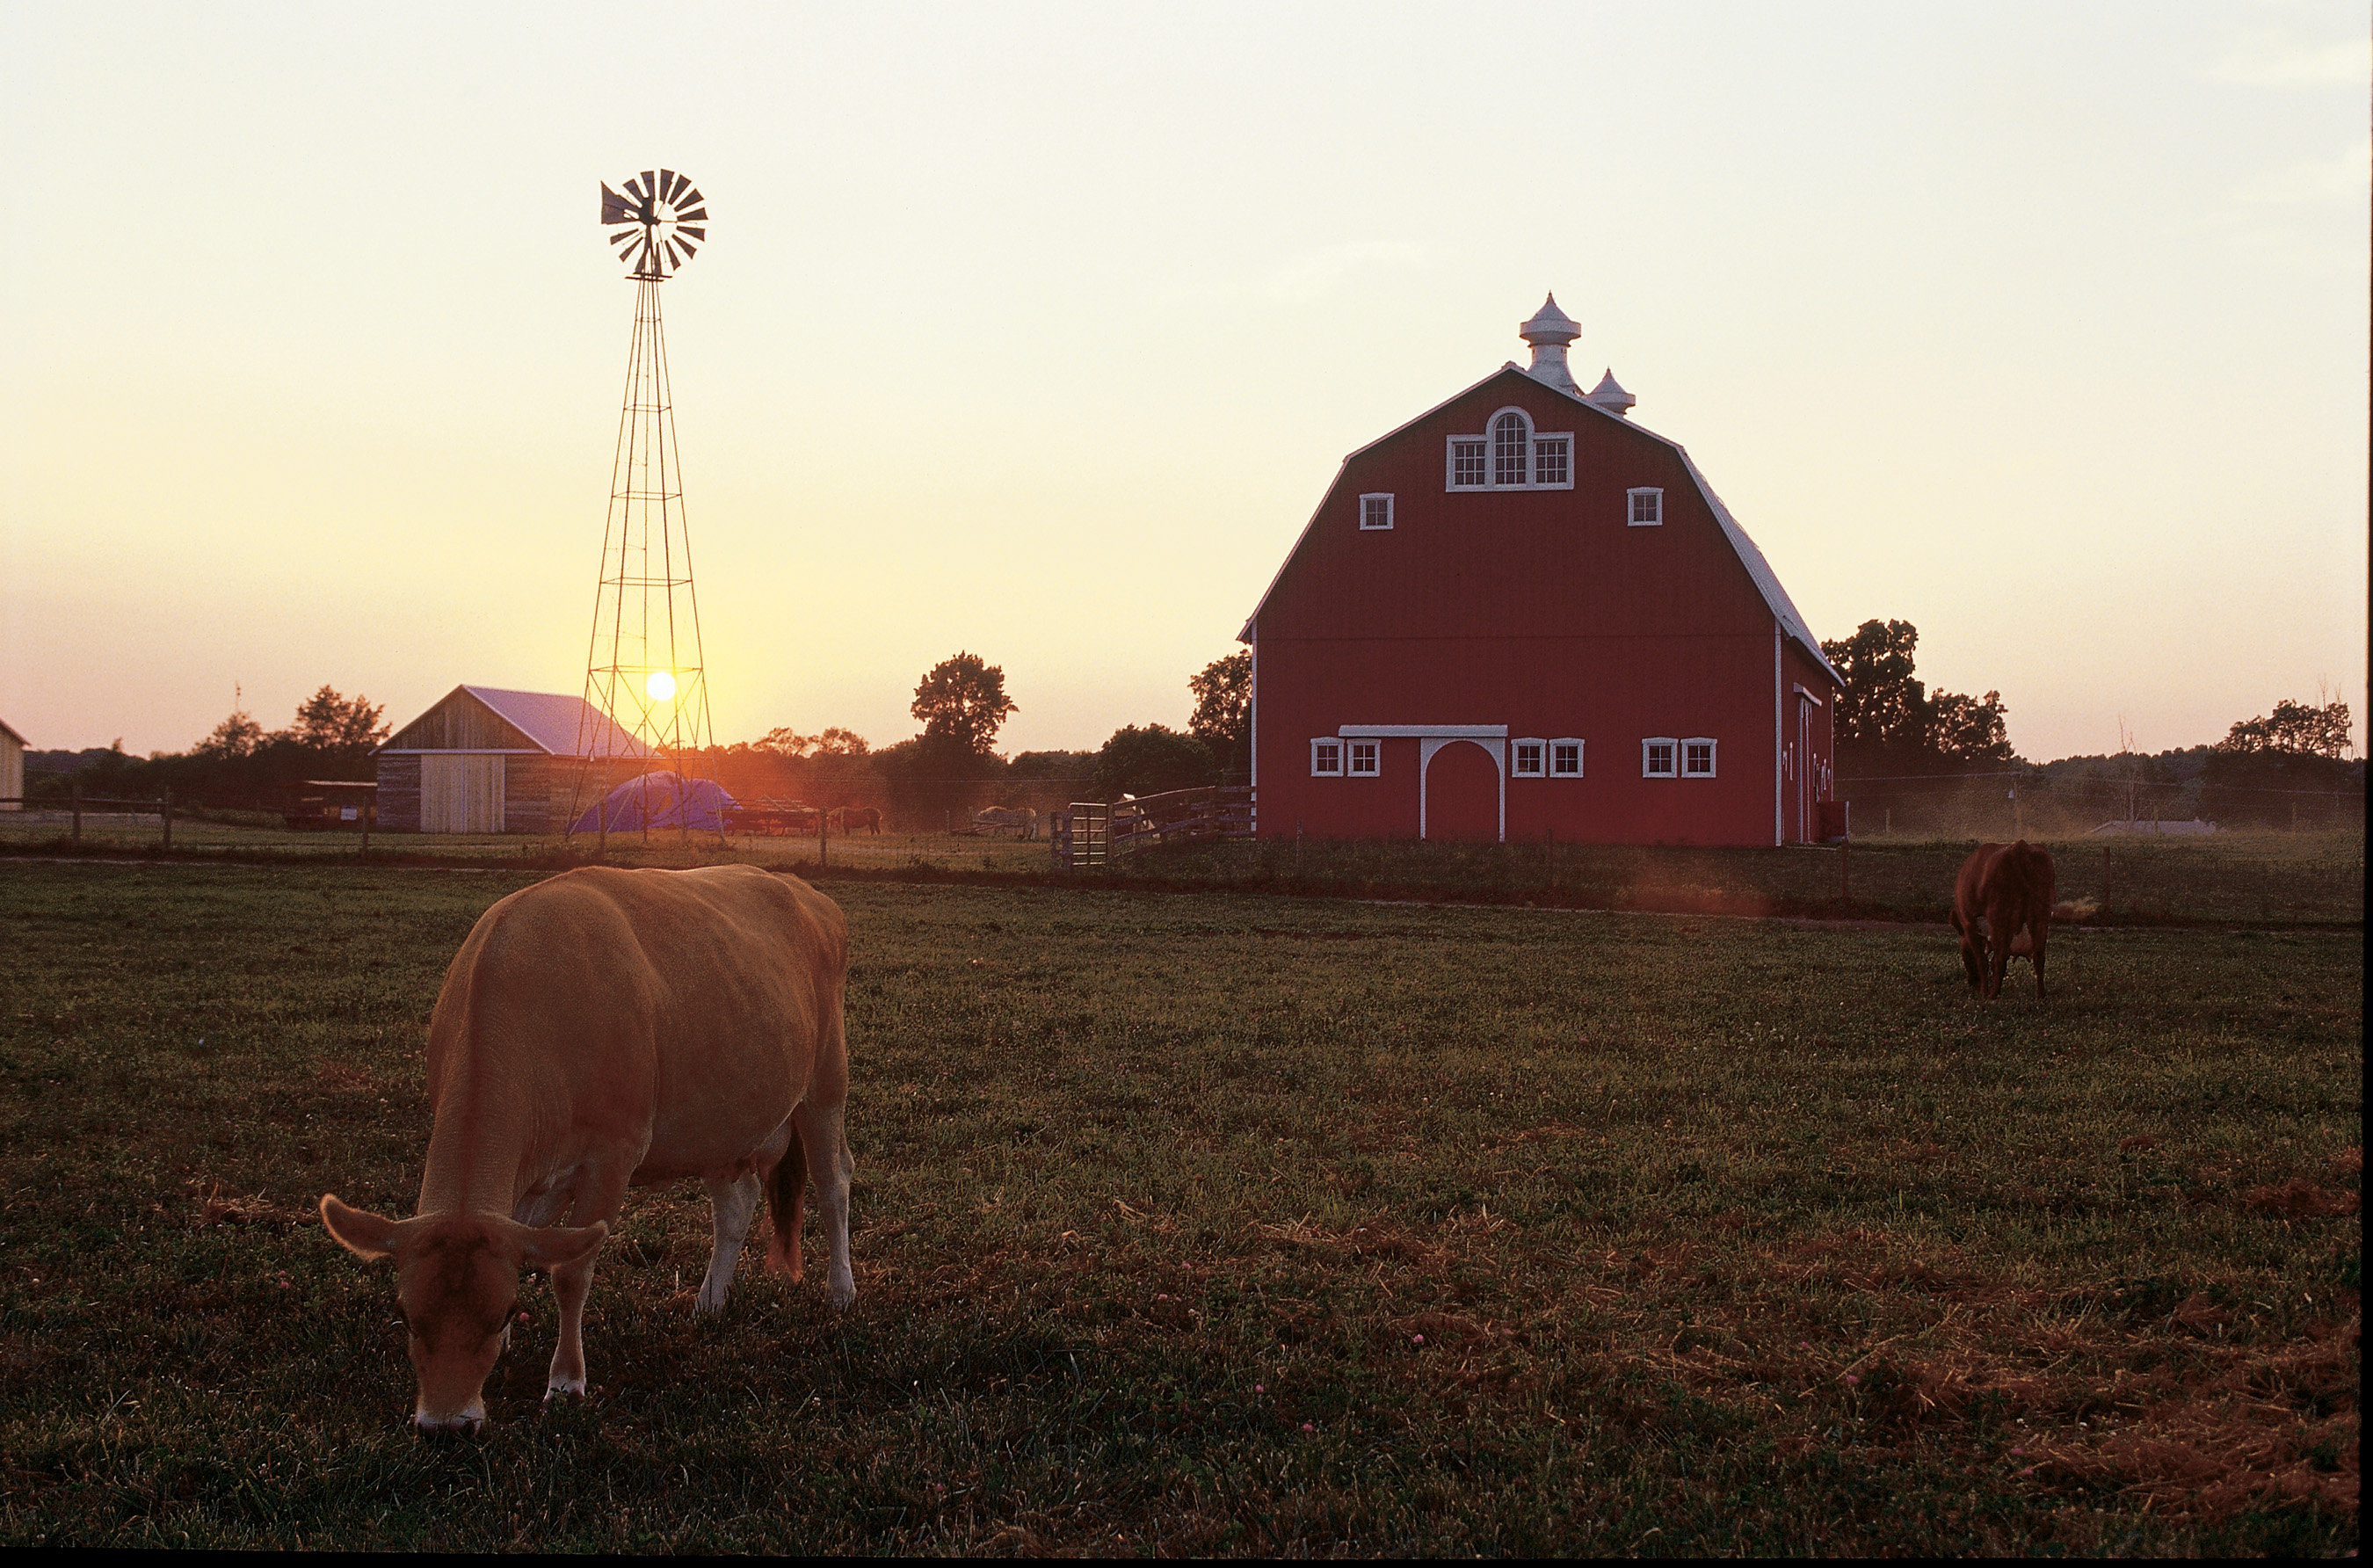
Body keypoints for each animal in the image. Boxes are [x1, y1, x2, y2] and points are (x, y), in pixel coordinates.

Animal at [320, 863, 859, 1423]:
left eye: (503, 1312)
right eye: (405, 1315)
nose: (446, 1426)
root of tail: (806, 894)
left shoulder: (612, 1157)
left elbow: (572, 1273)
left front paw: (565, 1380)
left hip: (826, 1081)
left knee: (833, 1181)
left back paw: (841, 1290)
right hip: (718, 1122)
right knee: (737, 1203)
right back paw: (710, 1302)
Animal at [1955, 839, 2050, 996]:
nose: (1972, 983)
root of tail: (2019, 846)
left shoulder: (1969, 924)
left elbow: (1982, 961)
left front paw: (1984, 991)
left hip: (1998, 917)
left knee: (2000, 957)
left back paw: (1991, 995)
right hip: (2041, 918)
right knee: (2039, 956)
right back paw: (2041, 994)